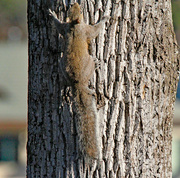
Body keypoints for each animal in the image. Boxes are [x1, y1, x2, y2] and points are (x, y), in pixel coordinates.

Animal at [48, 2, 109, 159]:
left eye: (73, 8)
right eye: (81, 11)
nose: (74, 3)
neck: (74, 25)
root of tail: (78, 83)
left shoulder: (65, 28)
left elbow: (59, 26)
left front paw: (53, 15)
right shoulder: (86, 29)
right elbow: (95, 30)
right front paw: (105, 17)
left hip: (62, 65)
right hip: (88, 64)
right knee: (92, 63)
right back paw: (97, 64)